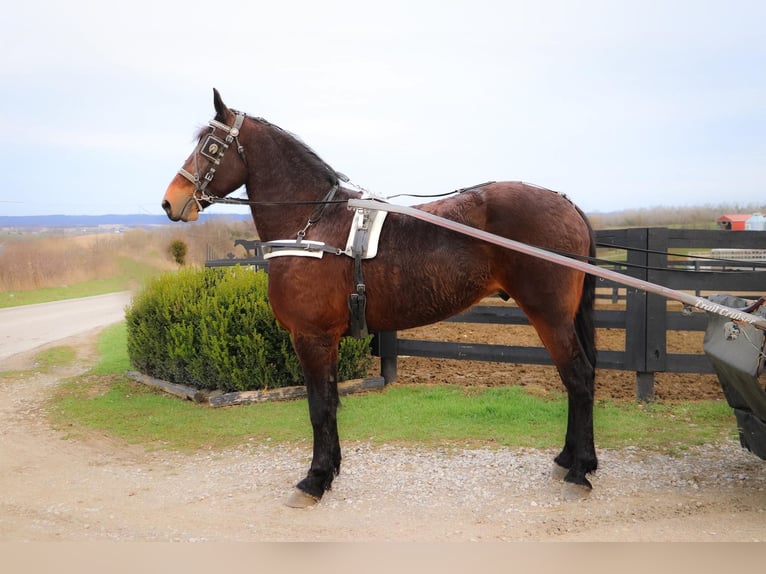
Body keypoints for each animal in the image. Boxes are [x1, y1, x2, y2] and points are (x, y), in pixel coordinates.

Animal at [164, 90, 600, 508]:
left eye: (210, 146)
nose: (171, 201)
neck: (314, 225)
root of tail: (566, 203)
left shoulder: (311, 337)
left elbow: (319, 407)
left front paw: (314, 481)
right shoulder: (327, 340)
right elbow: (330, 402)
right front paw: (330, 472)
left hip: (550, 316)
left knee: (578, 377)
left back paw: (579, 472)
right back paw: (570, 461)